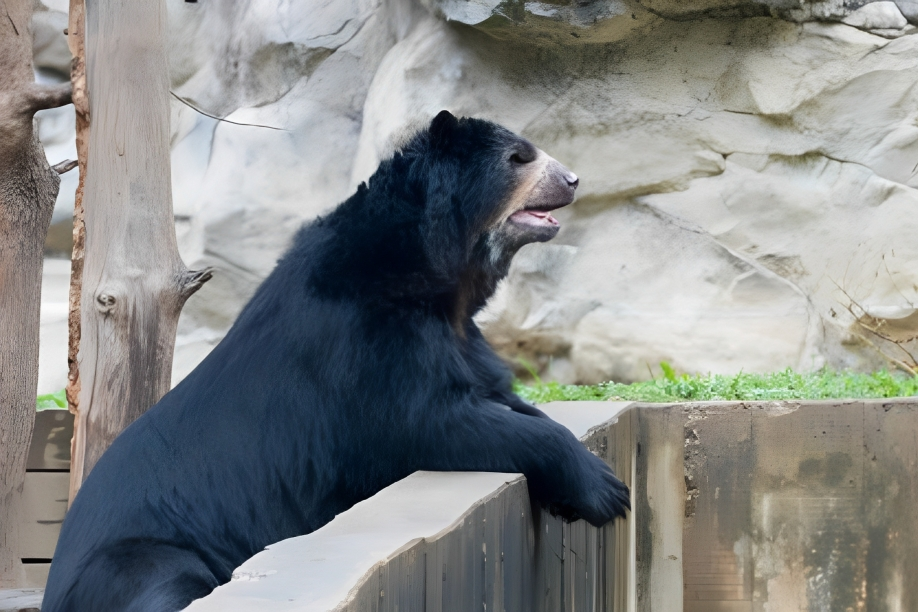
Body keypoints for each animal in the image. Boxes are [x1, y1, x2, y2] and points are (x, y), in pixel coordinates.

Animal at [42, 111, 629, 611]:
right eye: (519, 158)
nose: (573, 179)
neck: (438, 279)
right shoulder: (366, 344)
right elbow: (431, 419)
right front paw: (608, 491)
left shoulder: (456, 338)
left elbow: (501, 398)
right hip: (139, 554)